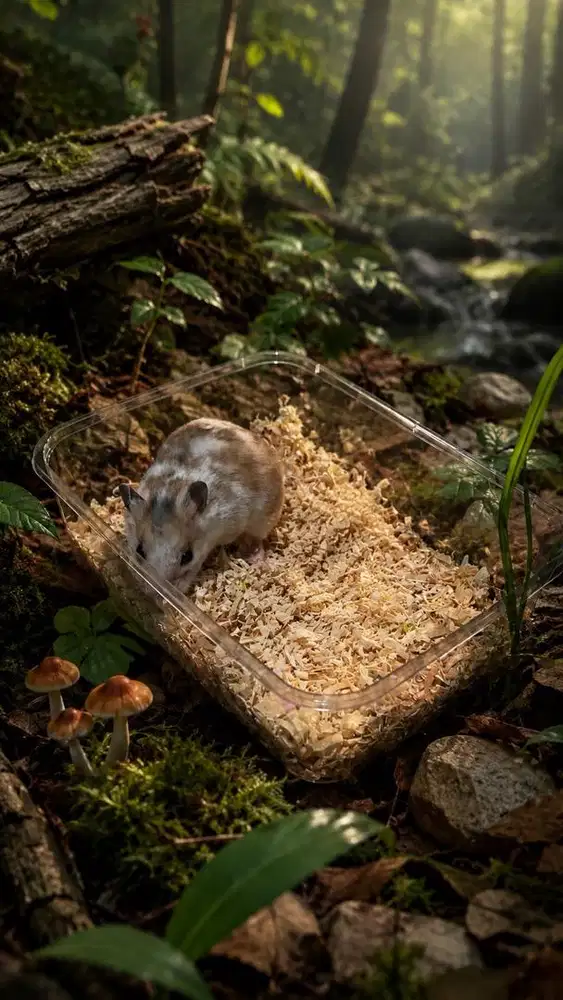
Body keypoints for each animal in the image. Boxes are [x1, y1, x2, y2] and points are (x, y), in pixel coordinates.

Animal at [119, 417, 284, 592]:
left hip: (263, 519)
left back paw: (258, 562)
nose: (154, 592)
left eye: (188, 556)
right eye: (139, 550)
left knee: (257, 539)